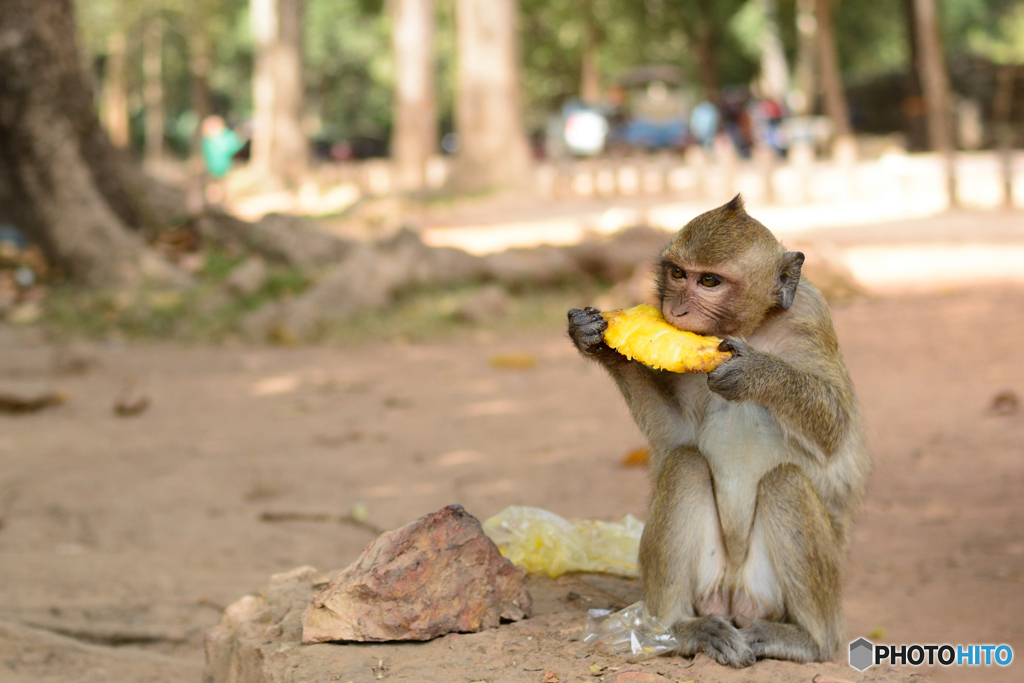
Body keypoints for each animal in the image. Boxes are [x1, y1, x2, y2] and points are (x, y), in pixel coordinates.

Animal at [569, 196, 872, 667]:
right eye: (677, 274)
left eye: (709, 281)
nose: (675, 310)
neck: (751, 328)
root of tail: (733, 595)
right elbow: (675, 437)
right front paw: (600, 342)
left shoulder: (811, 316)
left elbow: (834, 429)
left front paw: (756, 371)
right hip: (709, 583)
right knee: (685, 463)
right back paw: (678, 628)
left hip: (775, 588)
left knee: (786, 482)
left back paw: (811, 640)